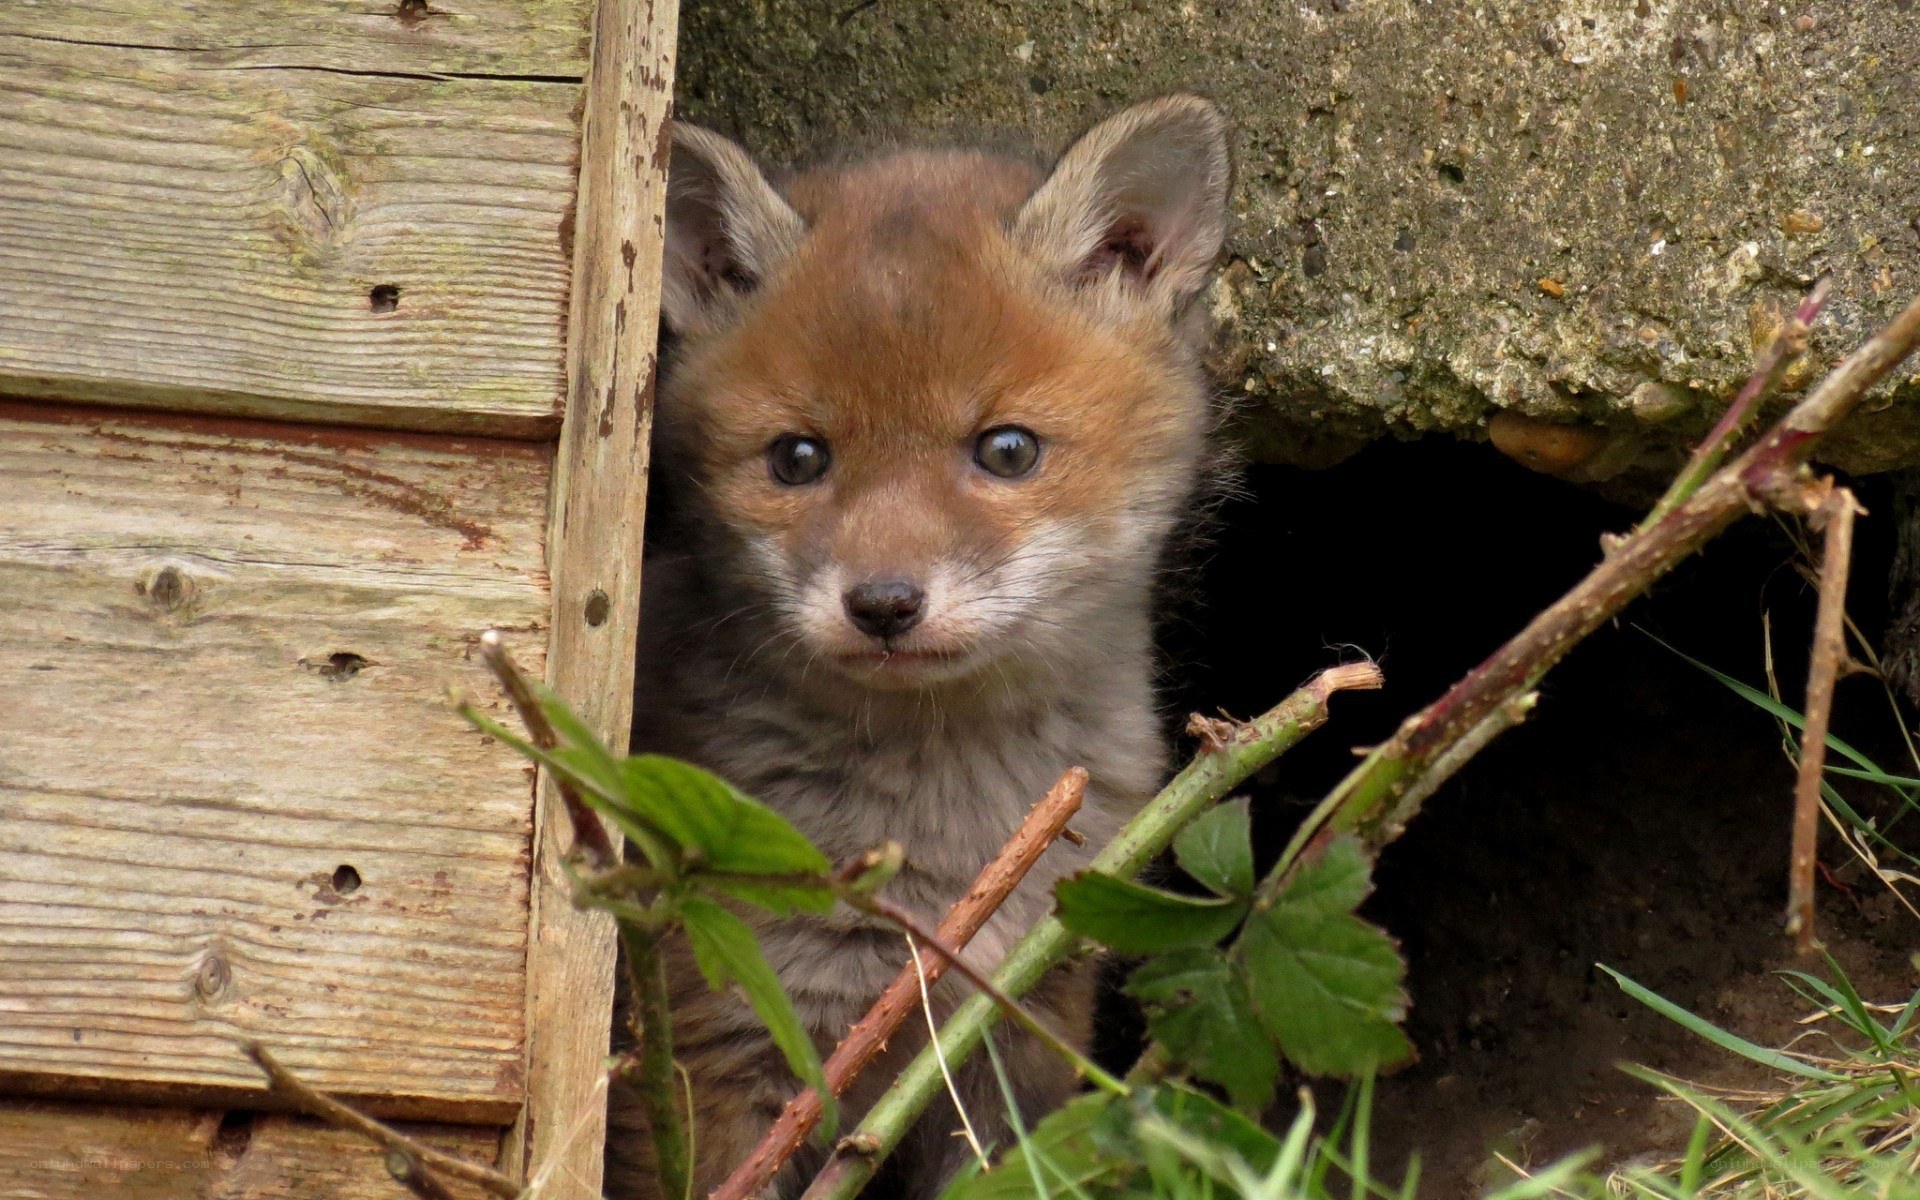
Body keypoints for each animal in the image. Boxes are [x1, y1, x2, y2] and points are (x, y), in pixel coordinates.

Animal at [611, 95, 1233, 1200]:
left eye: (1007, 450)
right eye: (797, 457)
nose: (885, 605)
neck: (940, 836)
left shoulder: (1014, 1032)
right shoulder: (712, 1047)